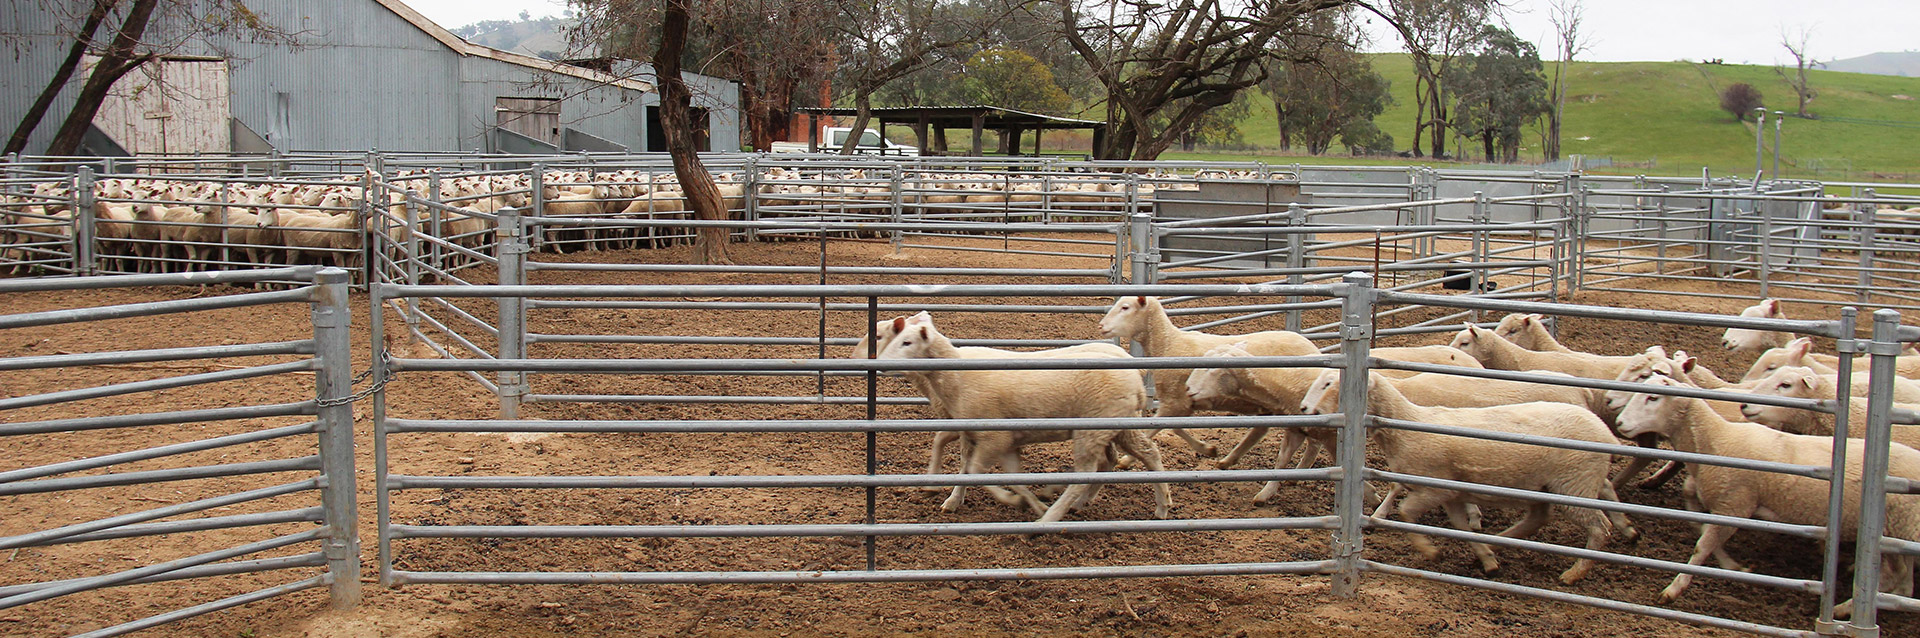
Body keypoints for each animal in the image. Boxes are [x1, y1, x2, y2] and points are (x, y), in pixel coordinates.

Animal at [875, 313, 1167, 522]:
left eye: (906, 342)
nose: (880, 364)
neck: (956, 377)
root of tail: (1137, 379)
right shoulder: (988, 437)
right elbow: (985, 471)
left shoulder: (992, 436)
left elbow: (974, 469)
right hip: (1118, 425)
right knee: (1142, 454)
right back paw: (1158, 504)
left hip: (1093, 429)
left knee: (1089, 471)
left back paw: (1052, 517)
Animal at [1098, 295, 1320, 455]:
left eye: (1125, 308)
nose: (1101, 326)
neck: (1169, 344)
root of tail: (1314, 348)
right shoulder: (1180, 402)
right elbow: (1176, 429)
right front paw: (1208, 449)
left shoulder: (1175, 402)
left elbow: (1154, 430)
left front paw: (1125, 461)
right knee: (1261, 430)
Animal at [1297, 367, 1628, 584]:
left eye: (1329, 383)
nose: (1305, 410)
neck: (1407, 425)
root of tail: (1603, 429)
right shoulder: (1451, 494)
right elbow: (1459, 527)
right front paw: (1486, 559)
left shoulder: (1433, 489)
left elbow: (1406, 512)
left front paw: (1430, 551)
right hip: (1544, 486)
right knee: (1539, 518)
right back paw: (1499, 542)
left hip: (1574, 484)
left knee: (1600, 528)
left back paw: (1574, 573)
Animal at [1612, 374, 1912, 607]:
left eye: (1653, 398)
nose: (1620, 423)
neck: (1717, 439)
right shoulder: (1727, 505)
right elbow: (1705, 529)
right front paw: (1735, 566)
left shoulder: (1736, 505)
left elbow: (1702, 546)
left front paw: (1674, 588)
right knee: (1899, 578)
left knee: (1895, 578)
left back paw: (1844, 609)